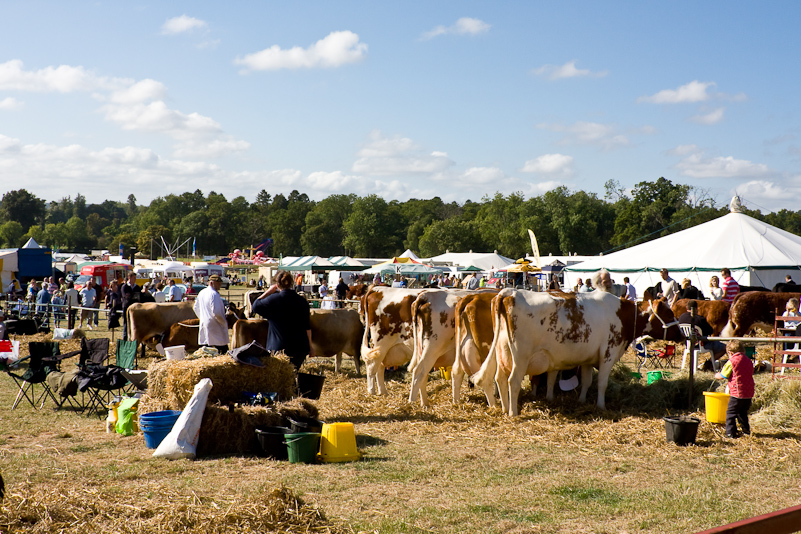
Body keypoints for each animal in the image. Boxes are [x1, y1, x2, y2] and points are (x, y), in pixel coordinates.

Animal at [472, 292, 680, 416]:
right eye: (669, 314)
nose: (682, 333)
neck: (622, 315)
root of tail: (509, 293)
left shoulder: (588, 358)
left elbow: (587, 381)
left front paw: (581, 401)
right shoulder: (608, 353)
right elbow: (602, 383)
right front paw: (601, 406)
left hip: (502, 352)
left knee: (499, 379)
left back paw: (505, 408)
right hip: (520, 357)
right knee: (512, 382)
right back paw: (513, 413)